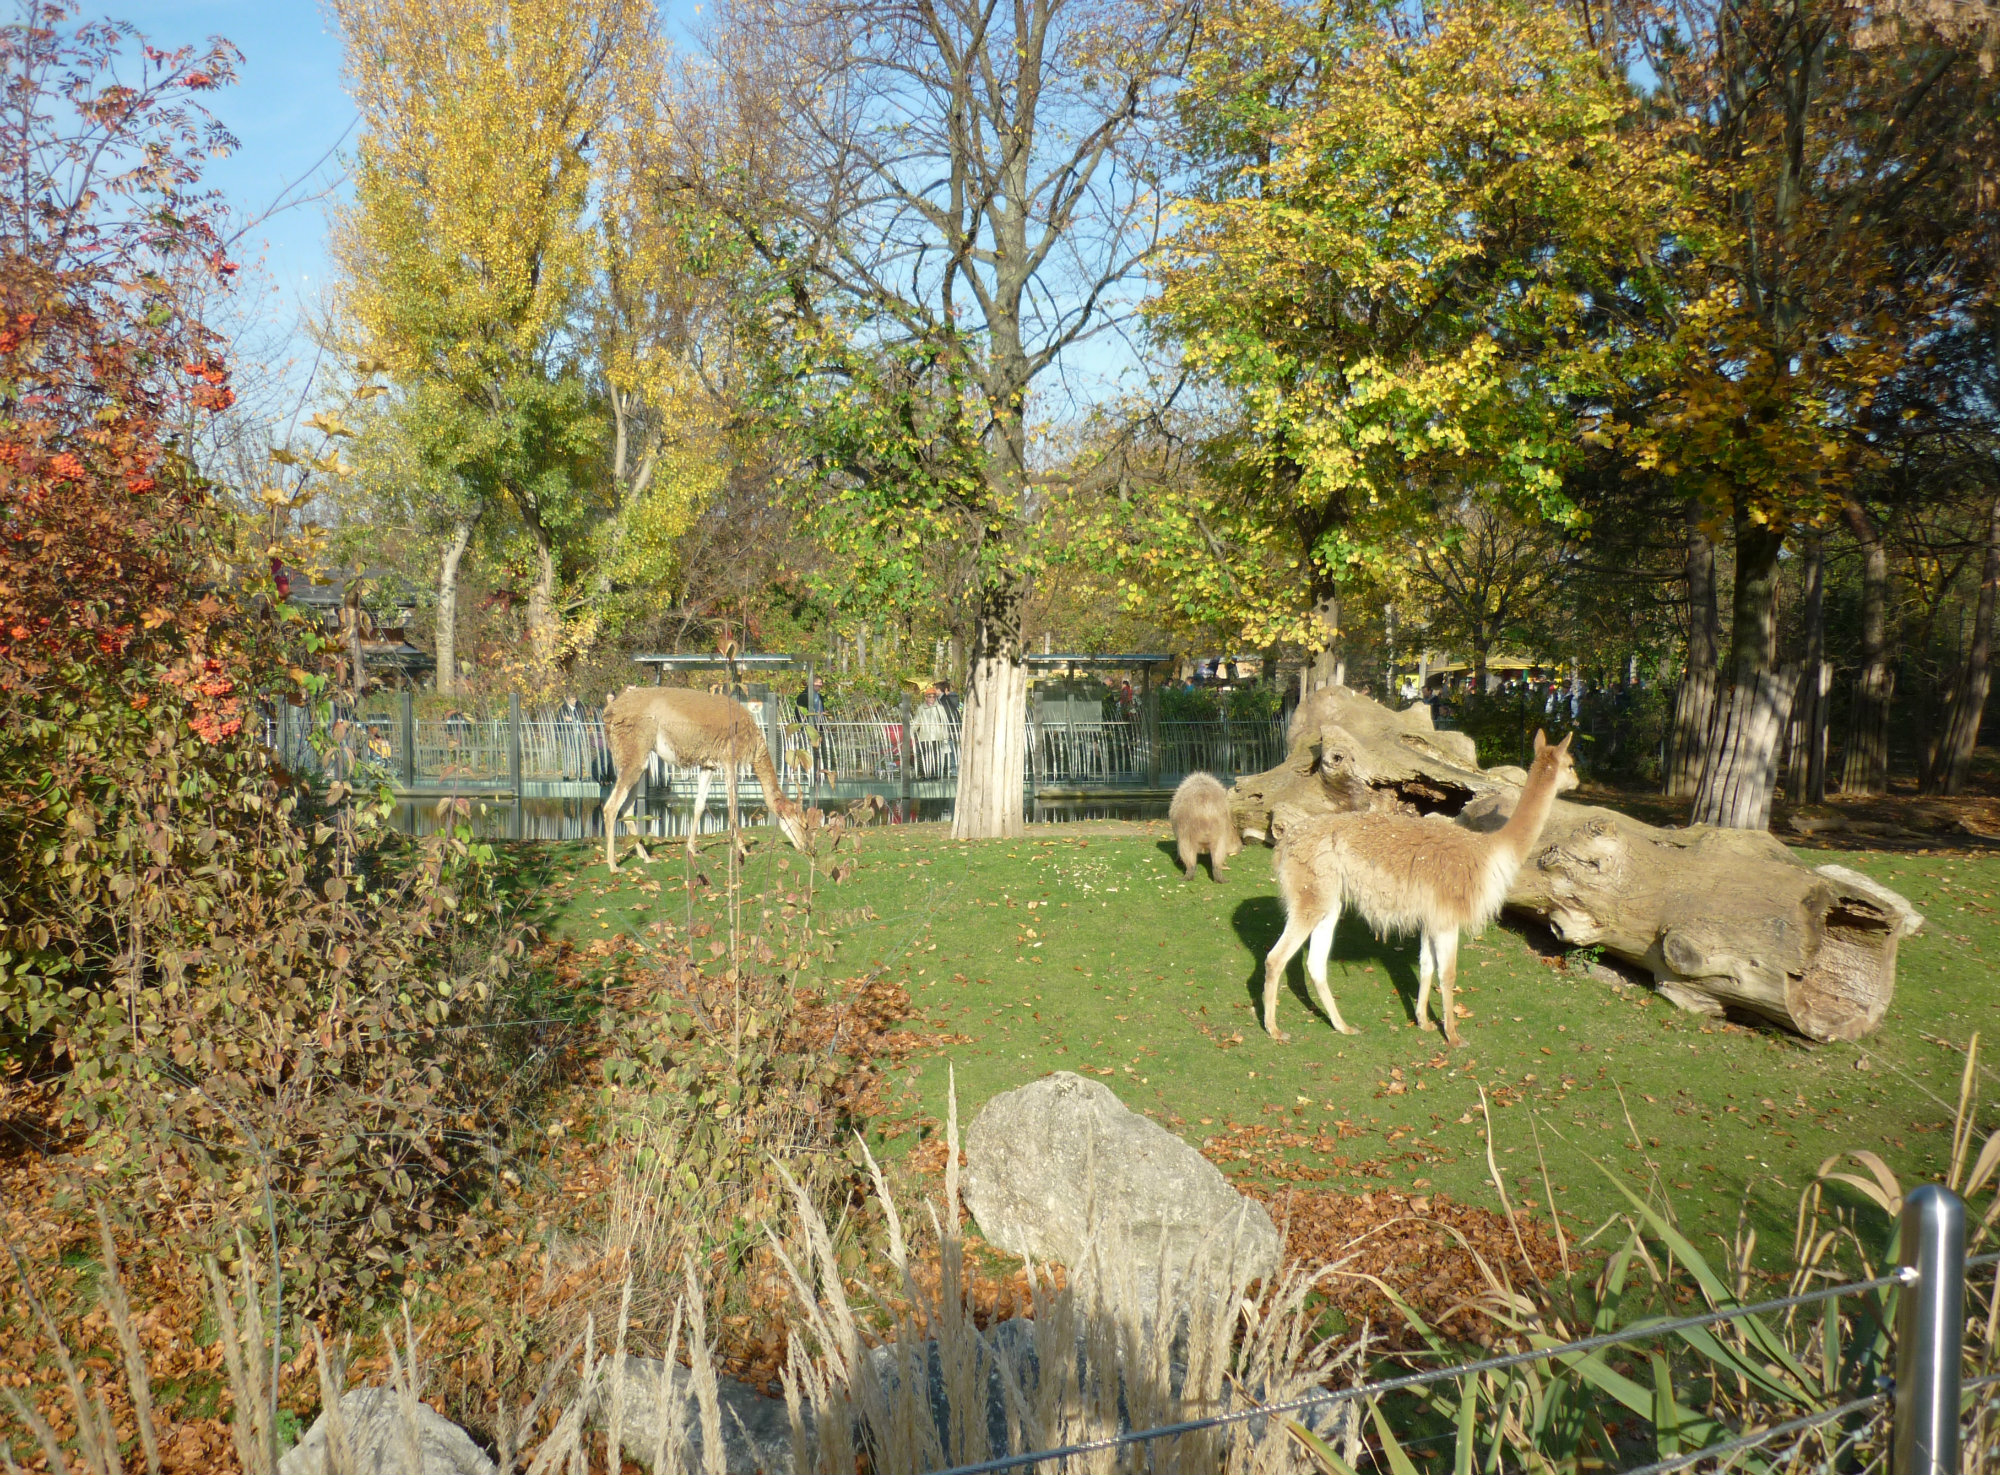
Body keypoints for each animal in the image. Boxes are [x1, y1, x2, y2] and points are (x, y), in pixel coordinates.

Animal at [601, 686, 807, 872]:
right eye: (801, 822)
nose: (804, 846)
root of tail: (610, 711)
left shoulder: (709, 765)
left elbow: (699, 804)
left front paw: (692, 848)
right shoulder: (729, 761)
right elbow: (733, 803)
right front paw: (743, 848)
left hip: (637, 763)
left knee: (626, 807)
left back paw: (646, 857)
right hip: (634, 757)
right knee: (611, 806)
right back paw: (613, 865)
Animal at [1261, 730, 1576, 1046]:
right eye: (1572, 764)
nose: (1576, 782)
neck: (1492, 851)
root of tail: (1284, 843)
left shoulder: (1431, 917)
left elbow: (1427, 966)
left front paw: (1423, 1021)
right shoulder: (1447, 916)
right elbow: (1448, 975)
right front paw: (1453, 1036)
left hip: (1328, 901)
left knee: (1315, 963)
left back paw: (1342, 1026)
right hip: (1310, 895)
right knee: (1275, 958)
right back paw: (1274, 1029)